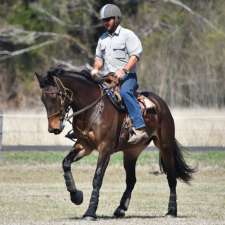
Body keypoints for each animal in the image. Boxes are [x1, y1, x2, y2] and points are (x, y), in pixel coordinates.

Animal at [35, 65, 193, 220]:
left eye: (56, 96)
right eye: (43, 99)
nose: (53, 128)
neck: (93, 109)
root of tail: (161, 104)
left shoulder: (105, 149)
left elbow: (97, 178)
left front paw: (90, 212)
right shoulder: (84, 145)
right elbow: (66, 163)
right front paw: (76, 196)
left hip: (165, 146)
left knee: (171, 177)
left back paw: (172, 211)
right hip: (131, 152)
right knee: (131, 180)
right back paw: (120, 209)